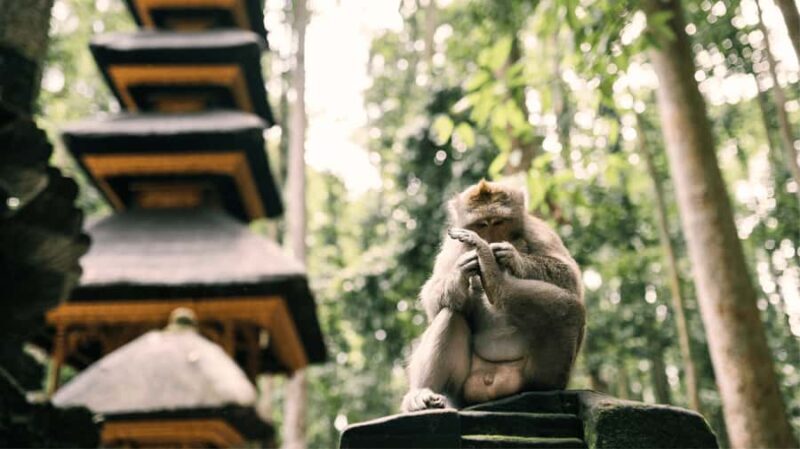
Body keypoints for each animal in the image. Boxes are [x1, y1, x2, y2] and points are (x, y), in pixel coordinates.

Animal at [401, 180, 585, 412]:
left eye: (498, 222)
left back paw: (495, 279)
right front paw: (460, 271)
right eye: (482, 224)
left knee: (569, 310)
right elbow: (432, 299)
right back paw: (422, 394)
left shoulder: (537, 229)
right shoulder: (453, 244)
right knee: (450, 314)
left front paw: (511, 256)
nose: (489, 240)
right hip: (461, 391)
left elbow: (569, 277)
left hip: (531, 376)